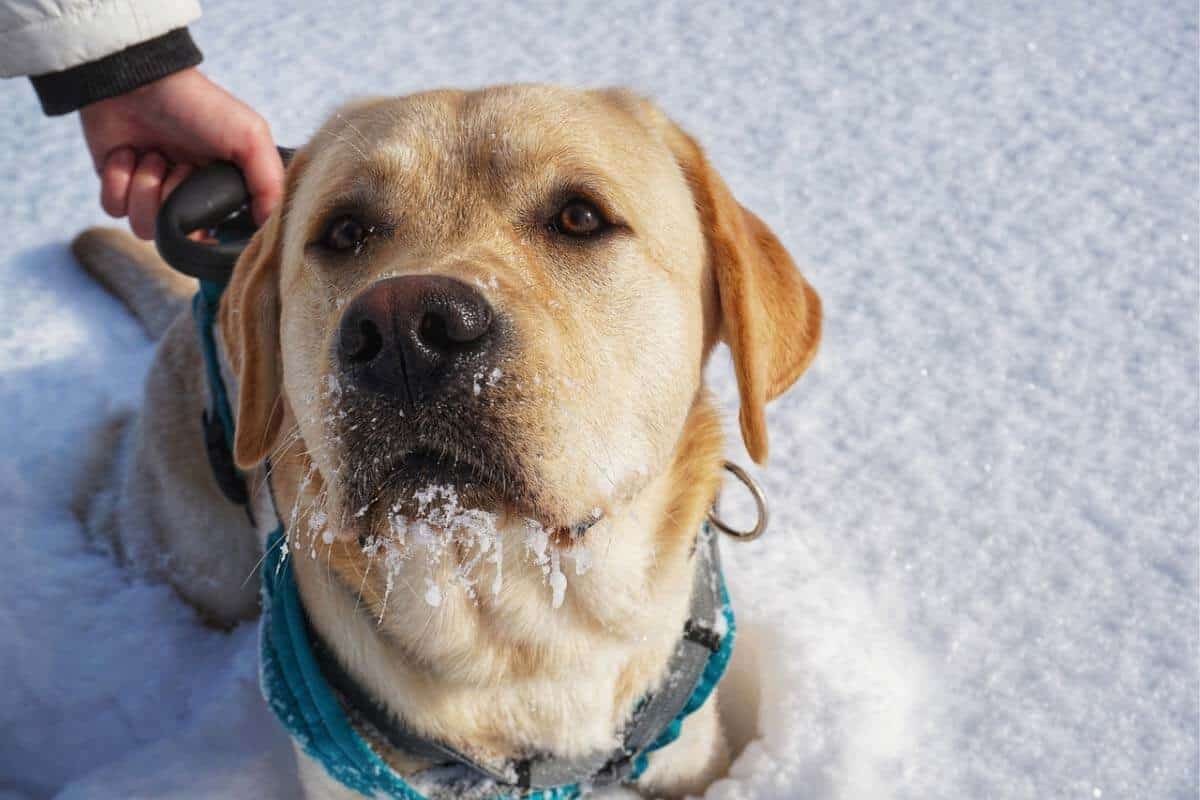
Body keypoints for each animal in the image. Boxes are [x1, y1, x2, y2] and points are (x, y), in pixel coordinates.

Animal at [70, 84, 820, 796]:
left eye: (580, 216)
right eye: (344, 230)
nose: (404, 331)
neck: (526, 640)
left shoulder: (692, 757)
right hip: (196, 553)